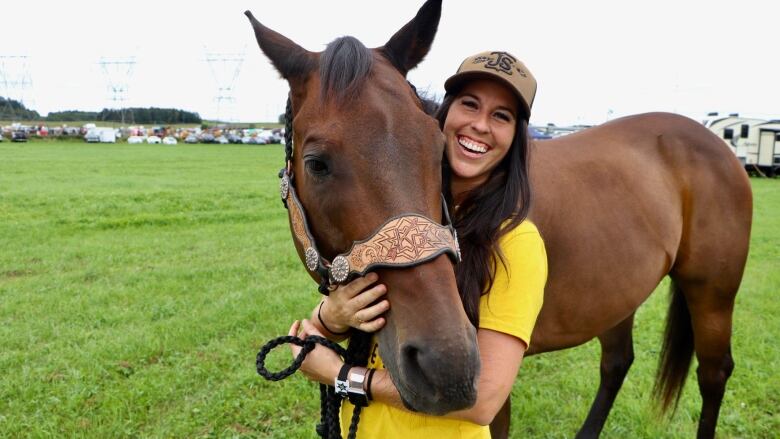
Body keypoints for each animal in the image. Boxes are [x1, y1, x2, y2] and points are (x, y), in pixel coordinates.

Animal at [248, 1, 748, 438]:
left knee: (714, 373)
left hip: (712, 293)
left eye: (437, 147)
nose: (446, 363)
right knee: (617, 362)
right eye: (316, 163)